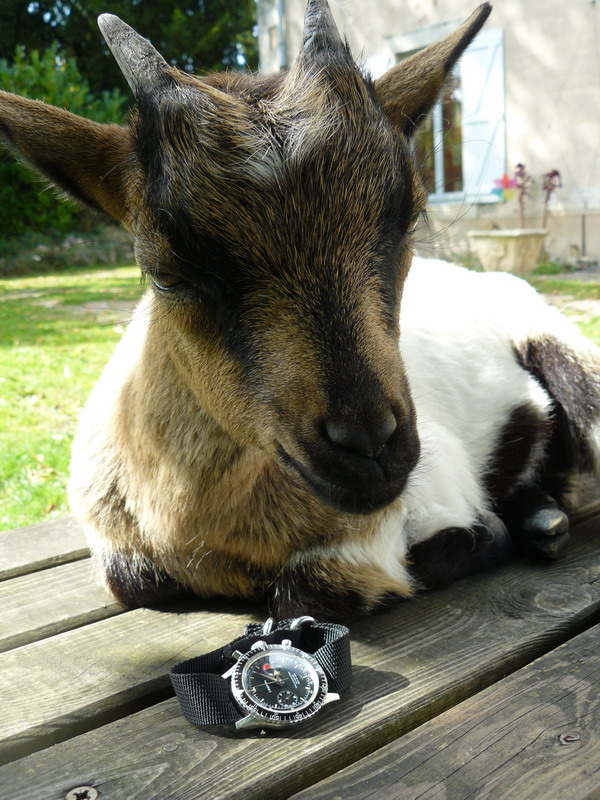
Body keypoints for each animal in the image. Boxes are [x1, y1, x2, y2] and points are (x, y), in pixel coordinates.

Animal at [2, 0, 596, 620]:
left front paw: (481, 537)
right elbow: (134, 581)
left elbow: (311, 589)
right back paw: (543, 520)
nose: (371, 446)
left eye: (407, 219)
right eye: (165, 272)